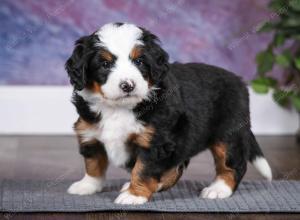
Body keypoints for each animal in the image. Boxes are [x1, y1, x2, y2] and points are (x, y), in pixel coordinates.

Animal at [65, 22, 272, 205]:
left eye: (139, 61)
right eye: (105, 64)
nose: (128, 85)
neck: (118, 108)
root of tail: (239, 81)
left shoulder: (154, 142)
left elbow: (142, 170)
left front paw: (134, 195)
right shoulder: (90, 133)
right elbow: (93, 163)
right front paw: (88, 185)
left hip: (228, 134)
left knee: (232, 164)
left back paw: (219, 189)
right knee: (177, 166)